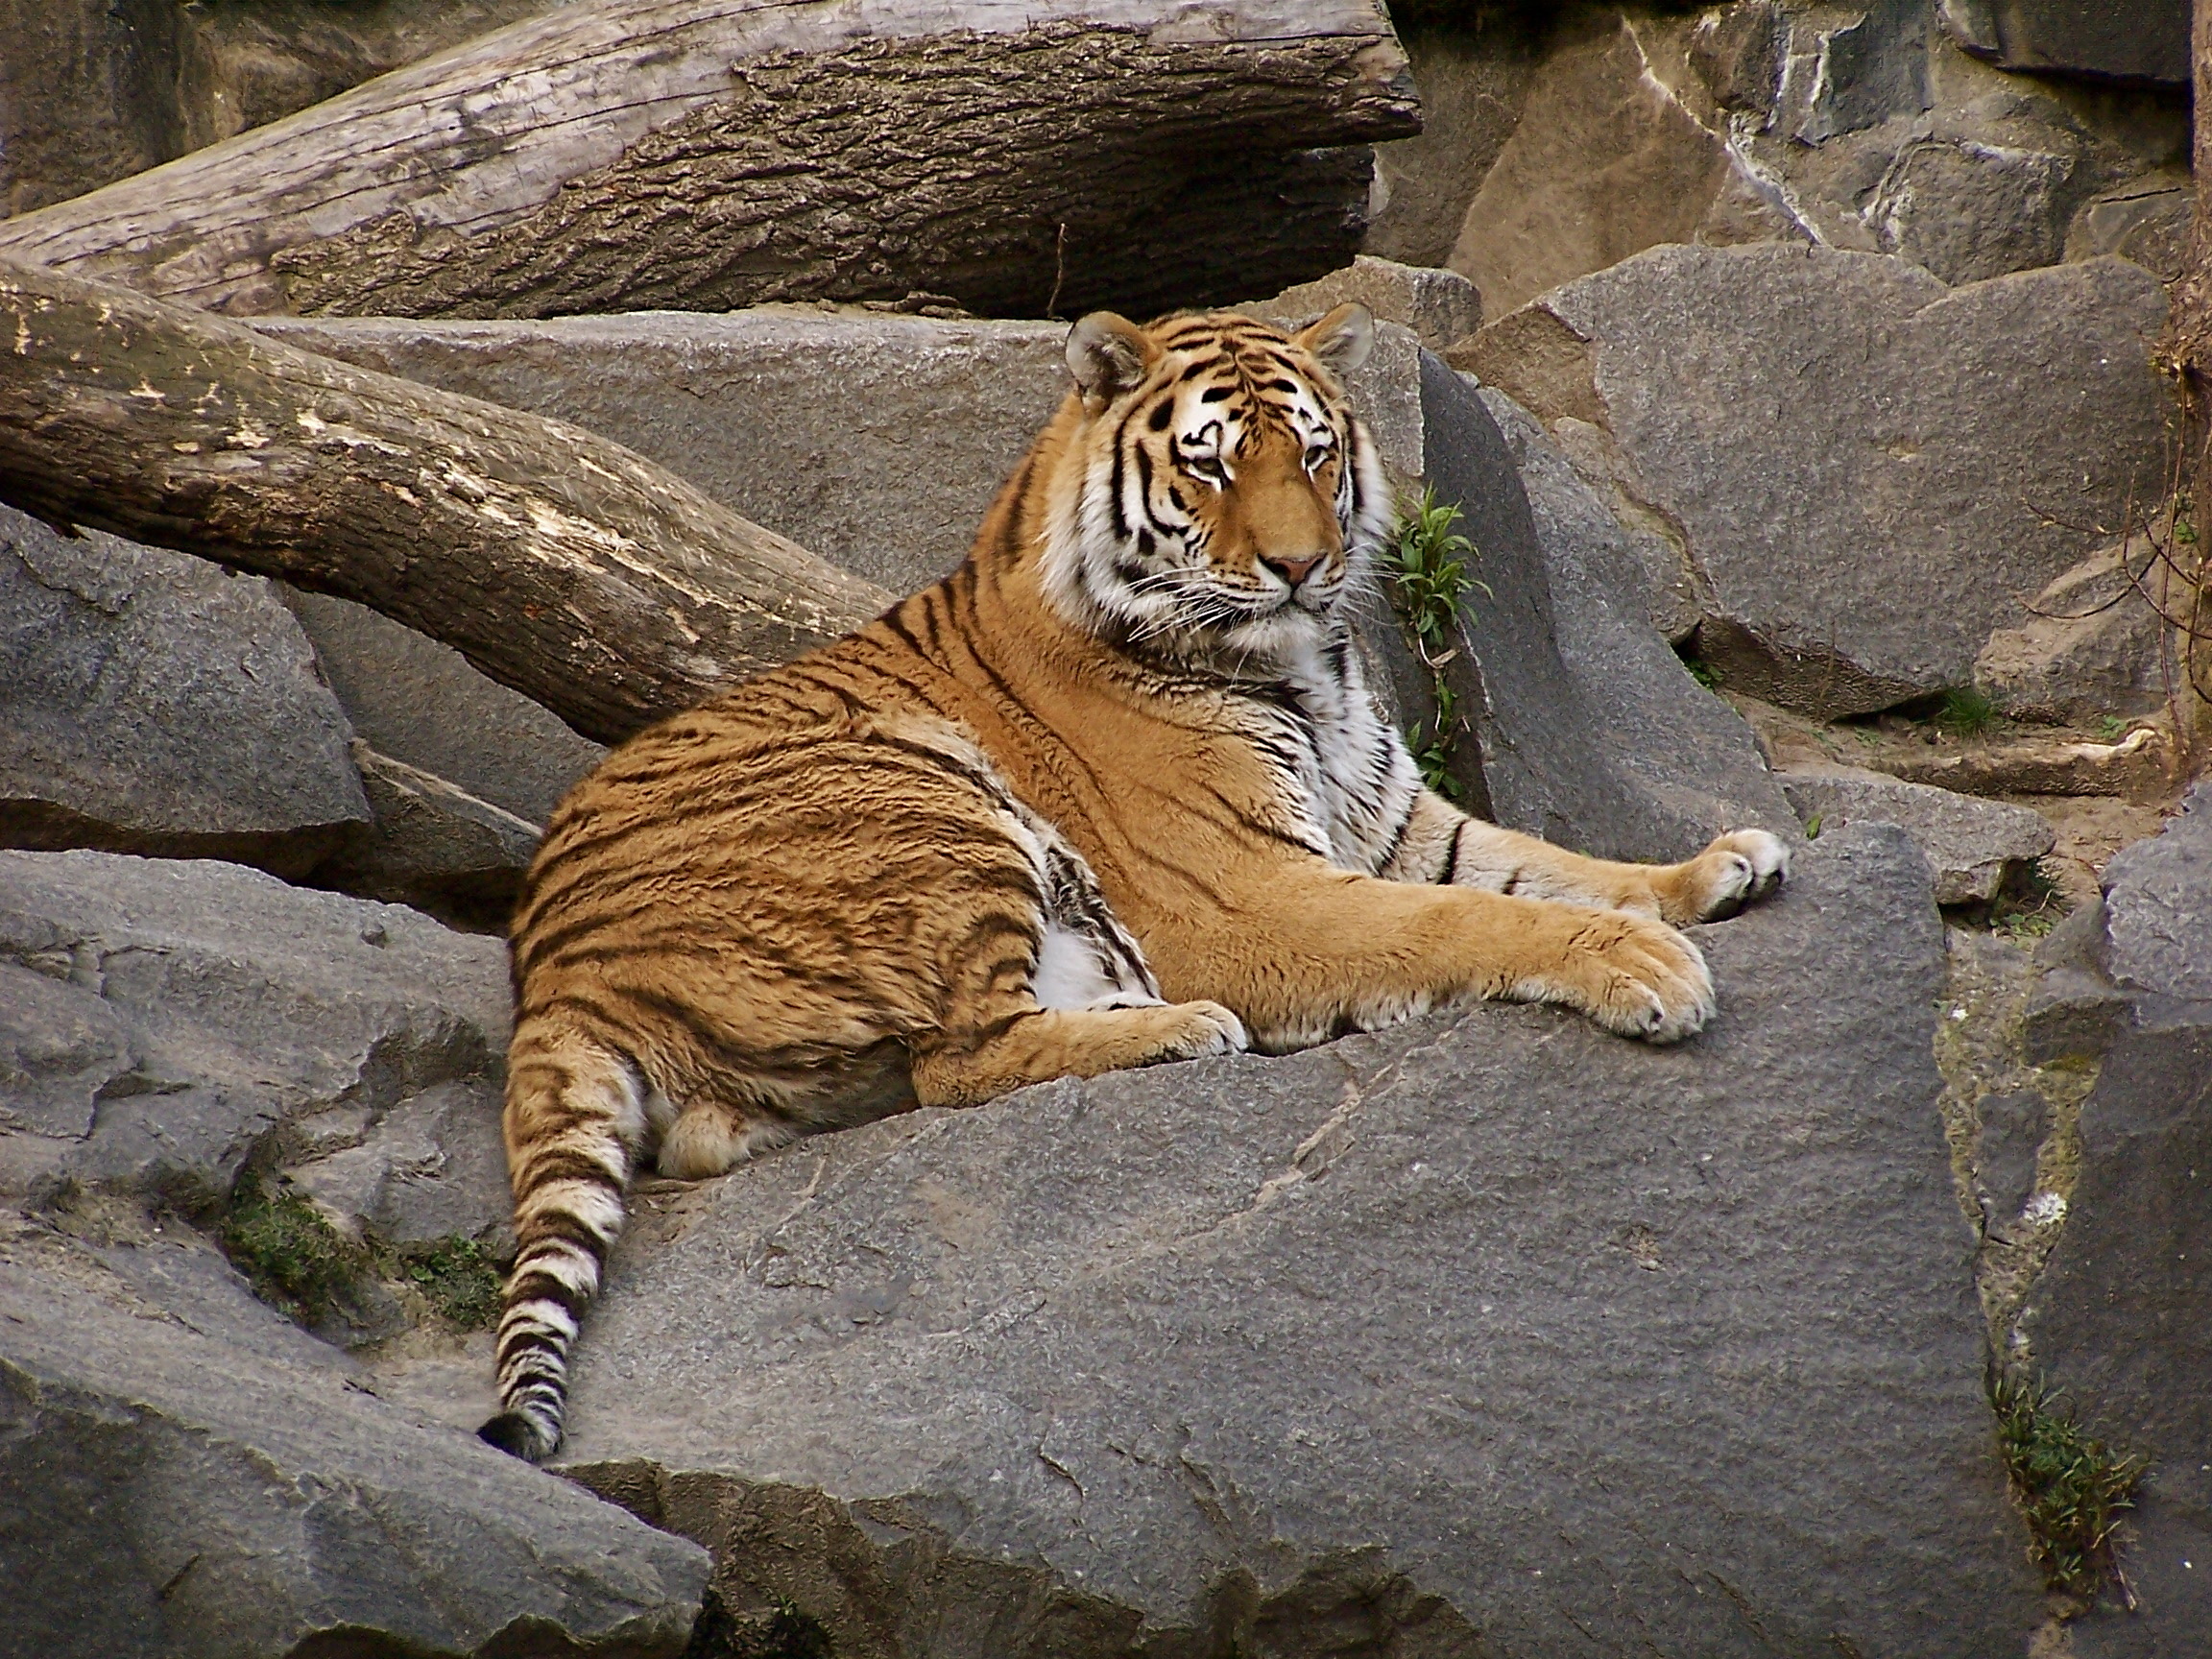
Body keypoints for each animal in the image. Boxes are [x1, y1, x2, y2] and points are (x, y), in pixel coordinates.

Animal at [475, 304, 1787, 1459]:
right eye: (1211, 466)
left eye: (1315, 453)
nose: (1303, 567)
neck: (1306, 668)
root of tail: (550, 976)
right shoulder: (1253, 898)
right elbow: (1467, 919)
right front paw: (1646, 965)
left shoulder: (1397, 826)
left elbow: (1545, 867)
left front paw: (1720, 865)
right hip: (934, 808)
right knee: (960, 1064)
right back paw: (1176, 1026)